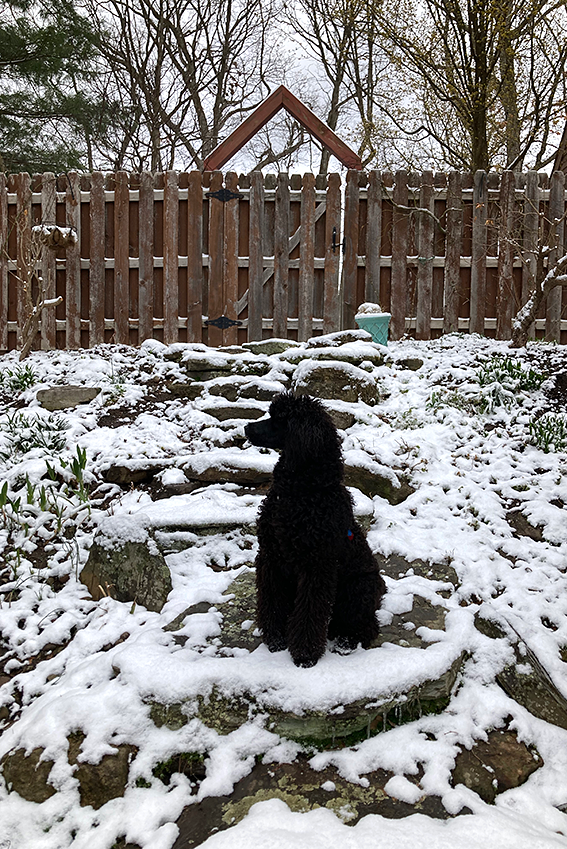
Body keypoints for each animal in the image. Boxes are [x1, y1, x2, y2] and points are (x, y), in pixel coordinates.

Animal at [244, 392, 386, 668]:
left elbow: (310, 611)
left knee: (367, 627)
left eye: (280, 419)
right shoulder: (270, 556)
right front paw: (276, 638)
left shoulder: (317, 564)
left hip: (358, 589)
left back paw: (346, 640)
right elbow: (272, 600)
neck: (301, 493)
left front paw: (304, 654)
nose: (247, 427)